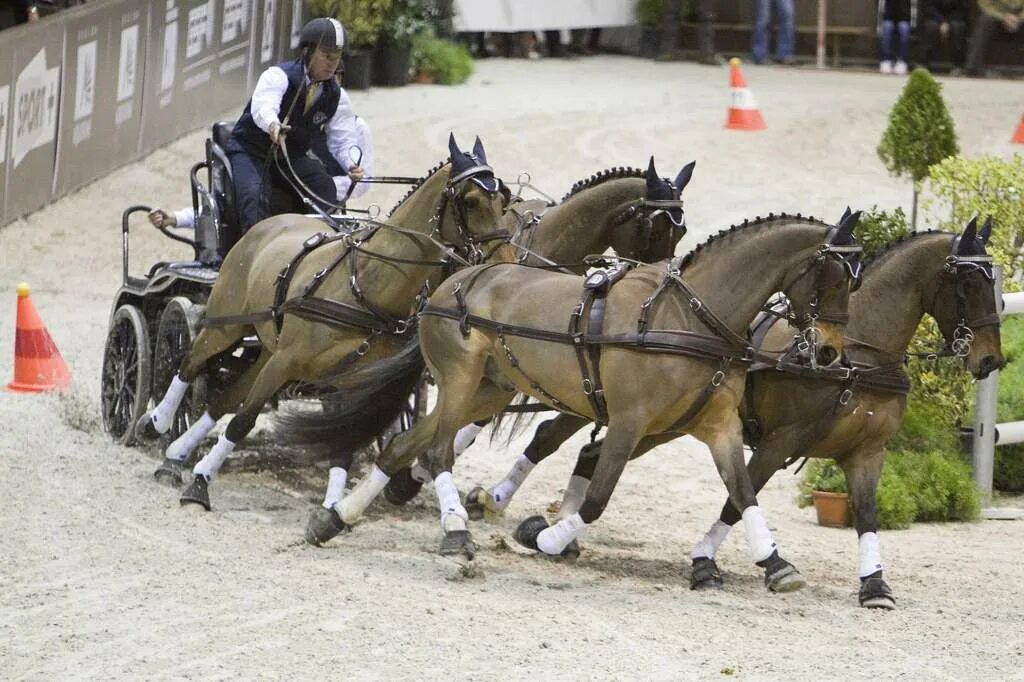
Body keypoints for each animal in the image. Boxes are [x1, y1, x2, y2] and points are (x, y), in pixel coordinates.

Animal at [132, 134, 516, 509]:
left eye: (504, 199)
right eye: (470, 201)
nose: (507, 261)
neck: (362, 285)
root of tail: (268, 223)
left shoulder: (347, 381)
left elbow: (342, 443)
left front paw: (332, 506)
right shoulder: (287, 360)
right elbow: (243, 422)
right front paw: (199, 485)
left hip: (268, 350)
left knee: (224, 398)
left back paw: (176, 452)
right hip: (226, 325)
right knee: (189, 364)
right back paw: (156, 425)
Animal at [290, 210, 864, 585]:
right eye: (832, 276)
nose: (831, 352)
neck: (689, 317)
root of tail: (450, 282)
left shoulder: (718, 426)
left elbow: (742, 493)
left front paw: (776, 564)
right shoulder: (629, 421)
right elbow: (596, 497)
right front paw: (545, 538)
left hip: (488, 391)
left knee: (402, 447)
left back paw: (334, 520)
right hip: (459, 382)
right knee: (434, 452)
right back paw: (454, 532)